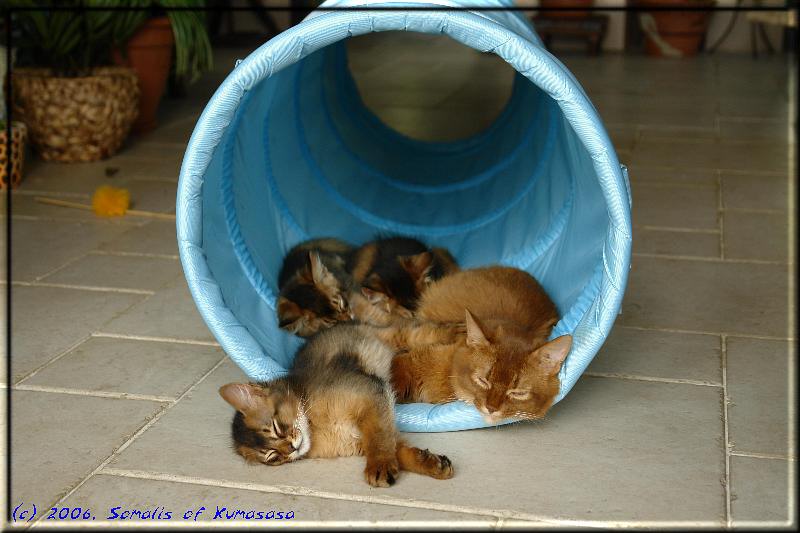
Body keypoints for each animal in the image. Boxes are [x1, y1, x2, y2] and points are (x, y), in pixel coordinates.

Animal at [222, 322, 454, 488]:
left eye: (276, 427)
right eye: (272, 457)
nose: (291, 449)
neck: (317, 428)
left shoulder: (370, 395)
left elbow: (378, 439)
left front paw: (379, 466)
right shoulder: (360, 438)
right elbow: (395, 448)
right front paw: (431, 464)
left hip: (392, 337)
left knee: (424, 332)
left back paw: (457, 333)